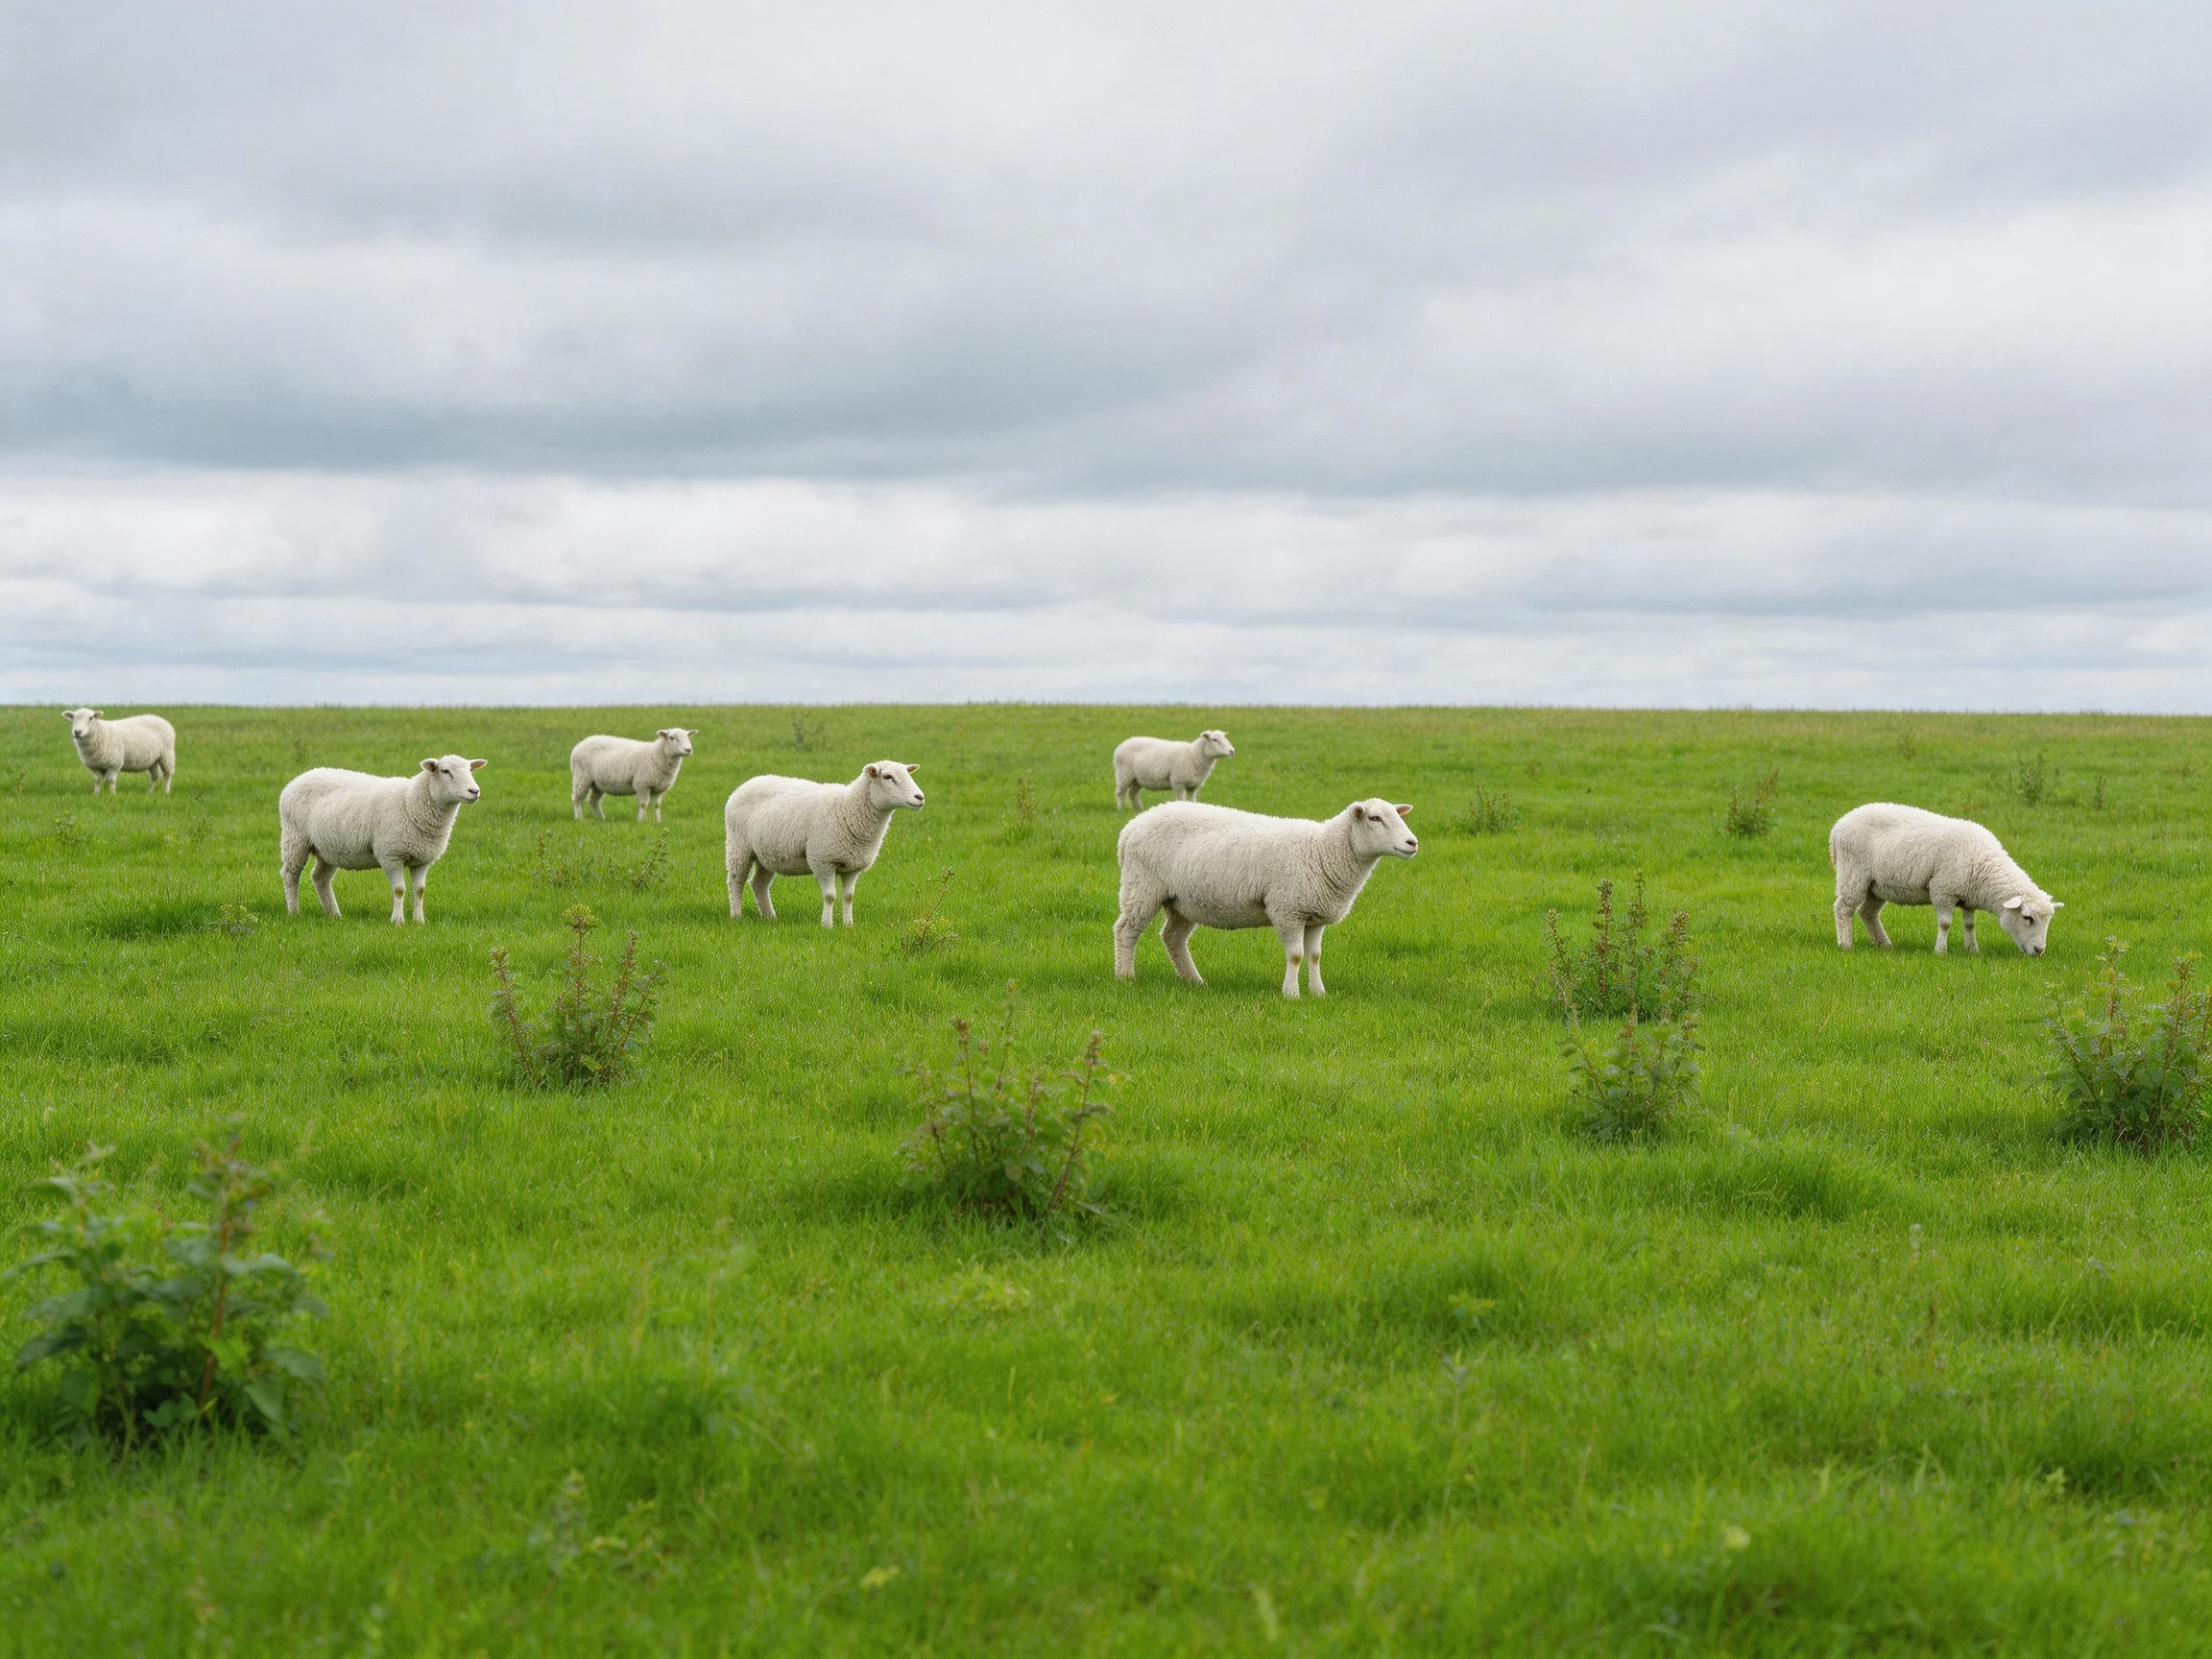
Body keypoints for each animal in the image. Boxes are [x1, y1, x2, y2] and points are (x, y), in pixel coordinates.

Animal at [279, 755, 485, 924]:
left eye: (470, 770)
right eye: (445, 771)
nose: (474, 791)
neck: (411, 802)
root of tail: (298, 778)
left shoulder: (422, 859)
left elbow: (419, 890)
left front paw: (419, 921)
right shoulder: (390, 854)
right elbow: (399, 889)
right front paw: (398, 921)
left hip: (328, 848)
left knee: (320, 878)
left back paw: (334, 914)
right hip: (295, 838)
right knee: (290, 874)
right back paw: (294, 912)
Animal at [571, 728, 696, 821]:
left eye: (688, 737)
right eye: (671, 738)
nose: (688, 750)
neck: (655, 754)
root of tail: (580, 744)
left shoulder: (659, 788)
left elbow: (656, 806)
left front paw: (657, 821)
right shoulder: (642, 784)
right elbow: (644, 804)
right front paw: (641, 821)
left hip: (597, 784)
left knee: (593, 801)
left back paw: (602, 819)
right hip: (581, 777)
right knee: (577, 798)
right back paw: (579, 818)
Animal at [725, 761, 925, 926]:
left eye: (907, 774)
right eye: (888, 777)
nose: (920, 797)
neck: (848, 809)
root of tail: (748, 783)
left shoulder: (853, 866)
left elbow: (848, 897)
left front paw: (848, 925)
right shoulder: (823, 860)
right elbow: (830, 897)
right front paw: (827, 925)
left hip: (766, 854)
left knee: (758, 884)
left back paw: (770, 917)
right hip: (739, 846)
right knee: (736, 880)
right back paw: (736, 915)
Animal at [1114, 798, 1417, 997]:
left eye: (1398, 816)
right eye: (1375, 818)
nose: (1412, 843)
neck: (1322, 851)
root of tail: (1131, 827)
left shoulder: (1315, 915)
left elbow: (1315, 956)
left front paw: (1318, 992)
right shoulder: (1287, 909)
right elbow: (1296, 955)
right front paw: (1291, 994)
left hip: (1183, 901)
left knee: (1173, 938)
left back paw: (1194, 981)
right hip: (1142, 886)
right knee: (1126, 931)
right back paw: (1126, 976)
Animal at [1830, 802, 2063, 956]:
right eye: (2027, 918)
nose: (2039, 950)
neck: (1984, 866)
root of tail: (1838, 825)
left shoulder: (1968, 897)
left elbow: (1970, 924)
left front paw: (1972, 950)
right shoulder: (1943, 890)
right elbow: (1945, 924)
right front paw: (1940, 951)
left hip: (1877, 885)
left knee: (1868, 913)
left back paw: (1885, 944)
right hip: (1853, 874)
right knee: (1844, 909)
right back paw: (1846, 944)